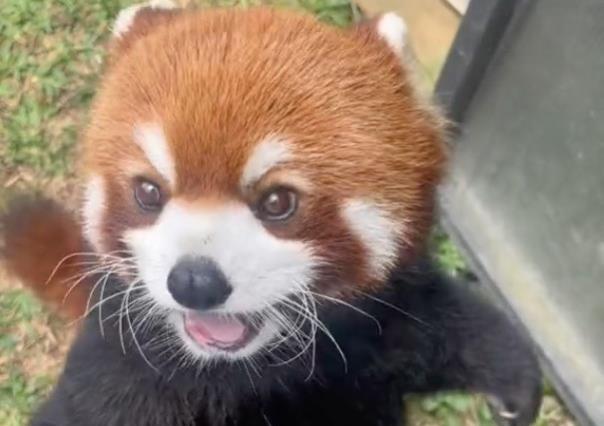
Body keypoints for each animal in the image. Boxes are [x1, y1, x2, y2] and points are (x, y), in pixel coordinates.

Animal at [0, 3, 536, 426]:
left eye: (278, 202)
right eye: (149, 192)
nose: (195, 281)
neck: (251, 372)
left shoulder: (384, 330)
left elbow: (454, 324)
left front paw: (514, 380)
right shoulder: (116, 373)